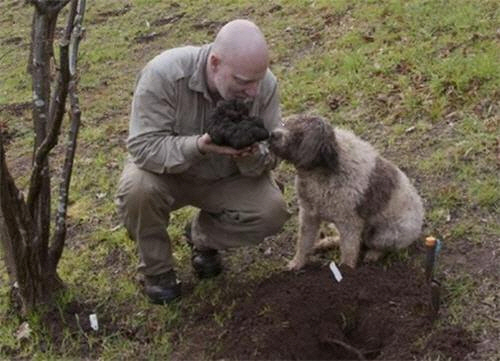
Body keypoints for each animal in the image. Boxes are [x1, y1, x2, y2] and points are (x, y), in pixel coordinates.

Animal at [272, 114, 424, 268]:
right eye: (286, 123)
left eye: (300, 136)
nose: (272, 135)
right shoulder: (308, 213)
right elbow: (304, 242)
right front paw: (296, 264)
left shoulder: (349, 222)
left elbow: (349, 251)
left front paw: (346, 269)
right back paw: (325, 243)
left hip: (387, 234)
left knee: (378, 246)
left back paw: (372, 255)